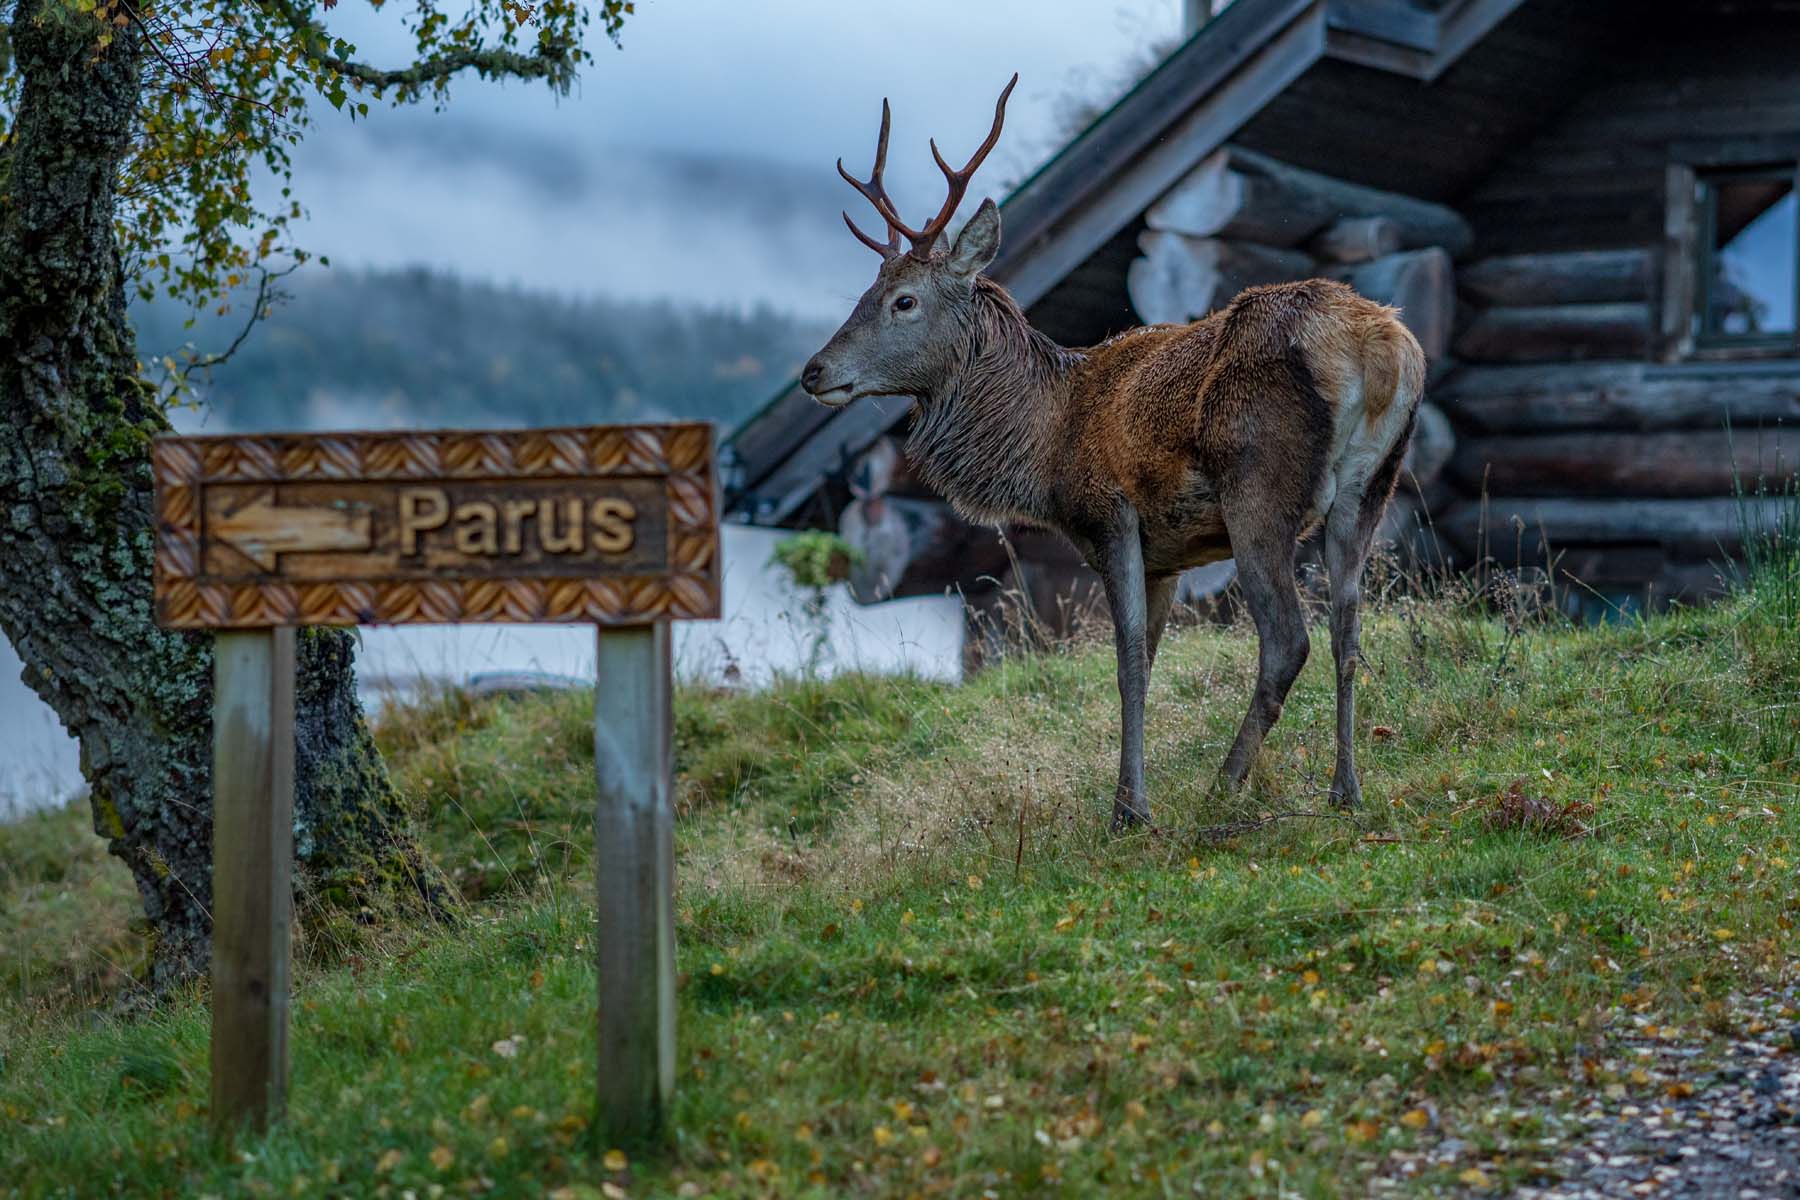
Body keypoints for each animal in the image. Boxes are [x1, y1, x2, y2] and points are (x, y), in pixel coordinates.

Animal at [799, 76, 1426, 830]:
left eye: (903, 301)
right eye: (865, 291)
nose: (814, 372)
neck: (1045, 443)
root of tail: (1380, 345)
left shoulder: (1109, 514)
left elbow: (1125, 658)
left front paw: (1129, 809)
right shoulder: (1169, 552)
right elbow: (1150, 658)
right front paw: (1129, 793)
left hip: (1258, 482)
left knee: (1287, 639)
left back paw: (1224, 784)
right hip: (1372, 487)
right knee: (1349, 631)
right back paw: (1346, 790)